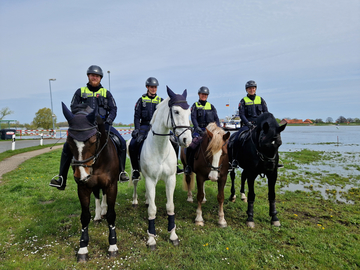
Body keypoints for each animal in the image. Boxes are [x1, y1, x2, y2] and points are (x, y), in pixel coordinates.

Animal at [61, 103, 119, 262]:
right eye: (69, 142)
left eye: (93, 141)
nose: (81, 175)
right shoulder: (83, 187)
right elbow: (85, 216)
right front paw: (83, 248)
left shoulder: (112, 186)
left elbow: (111, 215)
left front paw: (113, 246)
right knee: (98, 196)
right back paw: (99, 215)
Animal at [129, 86, 191, 249]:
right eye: (176, 111)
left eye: (189, 112)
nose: (187, 140)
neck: (160, 148)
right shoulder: (150, 179)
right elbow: (152, 210)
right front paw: (151, 238)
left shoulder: (170, 179)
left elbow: (170, 207)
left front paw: (173, 235)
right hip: (137, 173)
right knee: (136, 183)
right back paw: (136, 201)